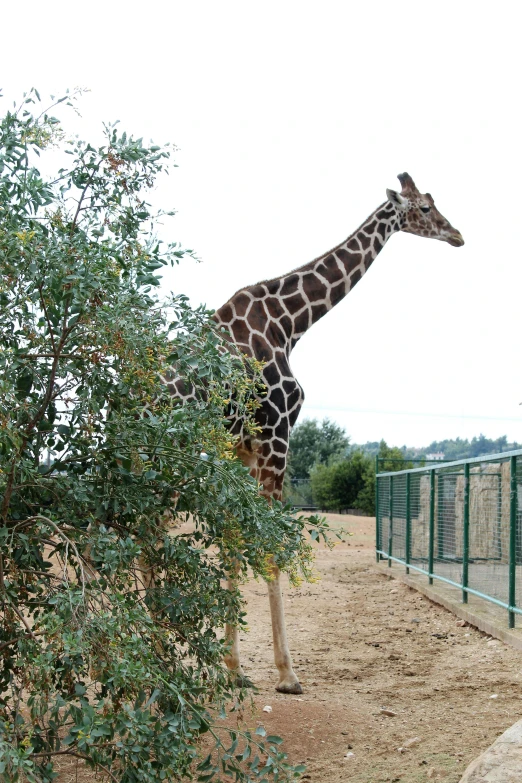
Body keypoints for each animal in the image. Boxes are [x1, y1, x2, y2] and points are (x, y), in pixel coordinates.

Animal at [166, 172, 460, 692]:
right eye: (425, 208)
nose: (457, 234)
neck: (291, 322)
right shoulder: (277, 436)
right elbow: (268, 547)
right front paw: (287, 674)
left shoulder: (244, 450)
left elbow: (235, 543)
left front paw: (236, 669)